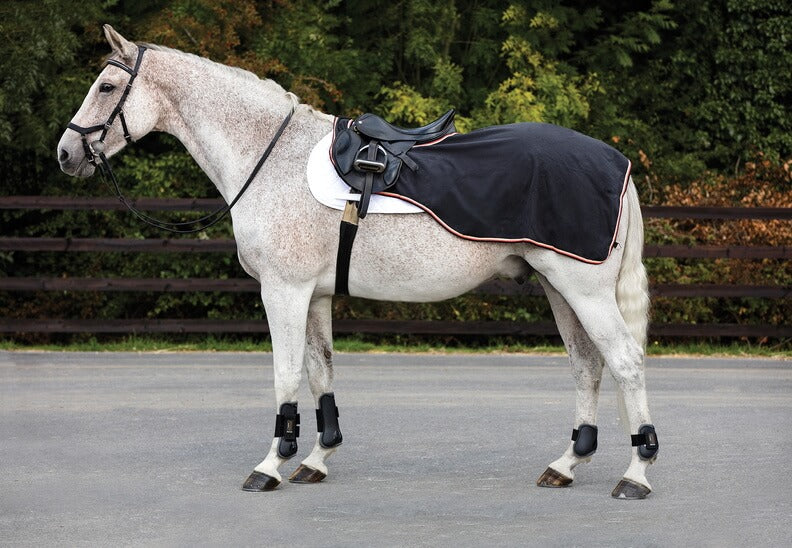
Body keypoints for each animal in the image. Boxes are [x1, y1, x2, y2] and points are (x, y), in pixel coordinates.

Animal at [57, 25, 659, 499]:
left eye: (106, 86)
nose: (65, 153)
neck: (269, 156)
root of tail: (617, 162)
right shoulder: (315, 294)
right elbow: (320, 371)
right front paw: (316, 460)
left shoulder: (284, 291)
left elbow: (285, 374)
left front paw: (270, 465)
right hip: (560, 289)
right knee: (587, 366)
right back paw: (567, 464)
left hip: (584, 290)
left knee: (626, 362)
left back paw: (636, 474)